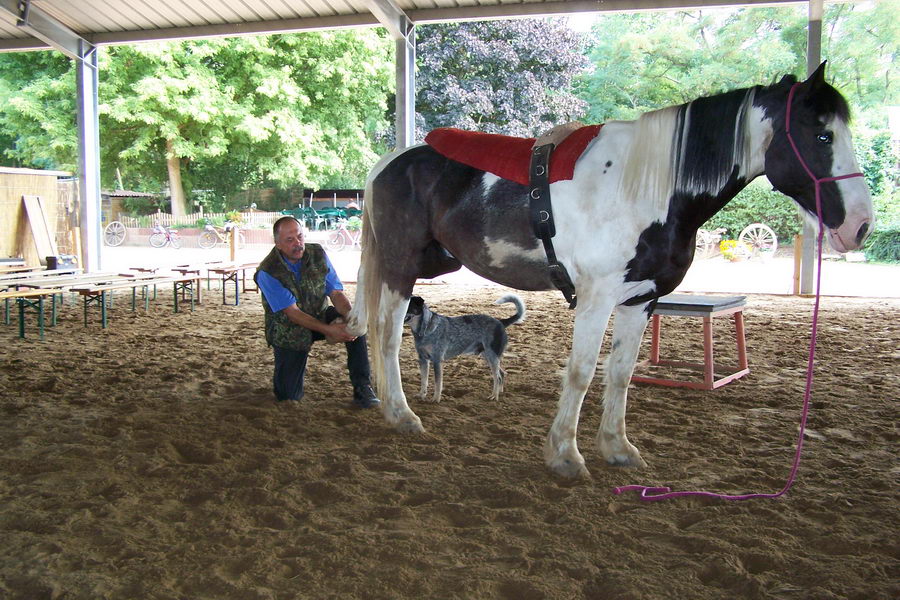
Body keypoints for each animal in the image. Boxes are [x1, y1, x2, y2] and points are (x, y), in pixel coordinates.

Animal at [344, 63, 872, 478]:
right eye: (822, 135)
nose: (861, 227)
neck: (647, 188)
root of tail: (390, 162)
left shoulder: (641, 301)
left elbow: (619, 374)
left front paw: (617, 448)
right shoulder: (595, 299)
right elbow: (580, 373)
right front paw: (565, 455)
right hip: (400, 269)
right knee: (387, 336)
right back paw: (402, 415)